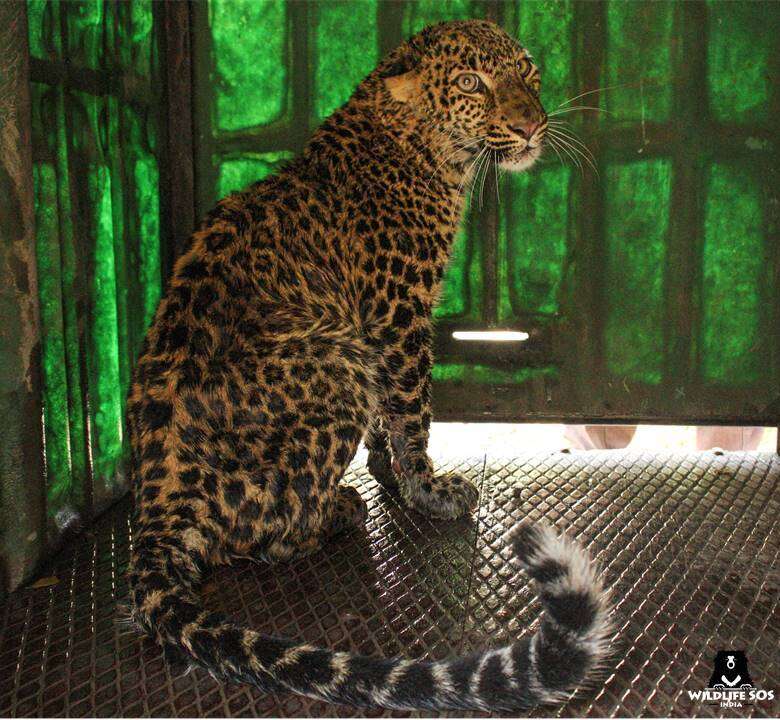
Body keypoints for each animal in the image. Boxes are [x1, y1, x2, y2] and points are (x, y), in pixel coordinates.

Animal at [127, 19, 613, 711]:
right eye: (472, 82)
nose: (530, 126)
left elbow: (394, 411)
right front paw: (428, 491)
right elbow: (413, 407)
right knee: (268, 536)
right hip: (339, 359)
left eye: (528, 73)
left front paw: (387, 464)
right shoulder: (396, 316)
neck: (426, 148)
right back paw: (338, 508)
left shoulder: (387, 323)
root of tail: (158, 499)